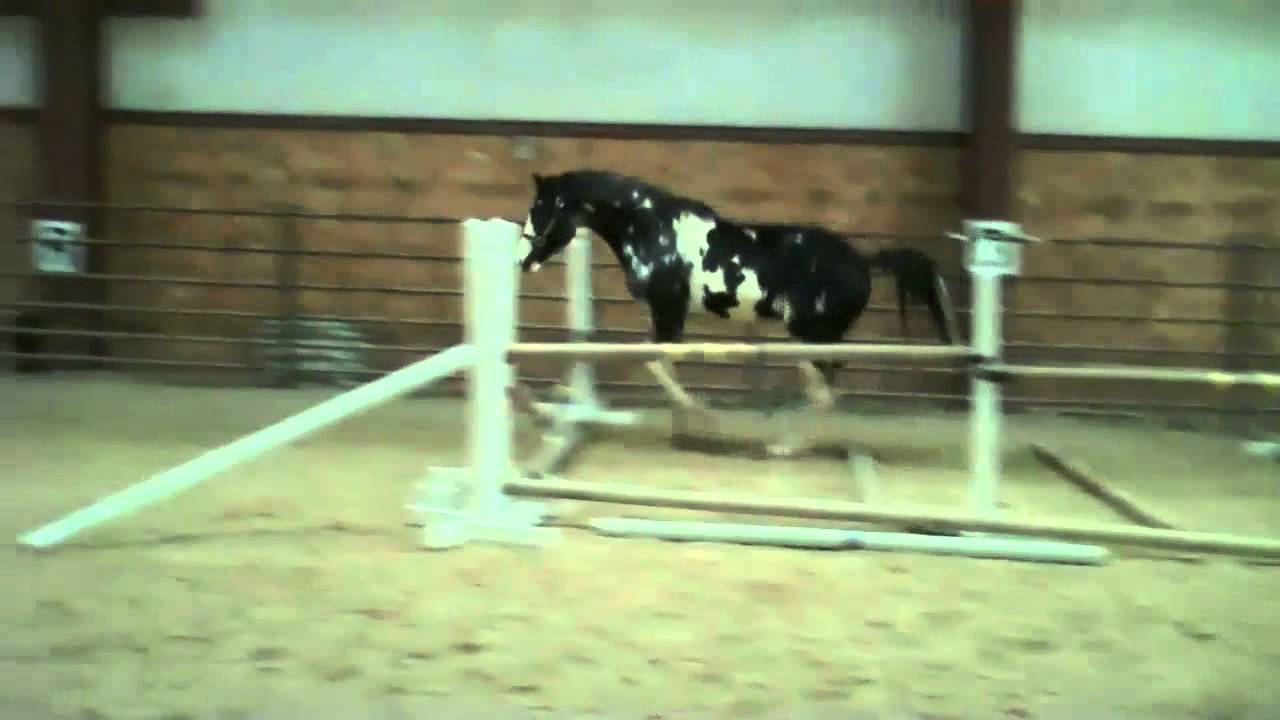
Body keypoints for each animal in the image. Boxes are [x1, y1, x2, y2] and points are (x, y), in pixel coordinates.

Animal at [515, 169, 957, 413]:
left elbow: (654, 361)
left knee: (824, 392)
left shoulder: (668, 311)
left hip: (811, 337)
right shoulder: (666, 315)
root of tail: (863, 263)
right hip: (819, 339)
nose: (522, 260)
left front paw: (698, 409)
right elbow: (650, 359)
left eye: (540, 209)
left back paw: (784, 445)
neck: (651, 229)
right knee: (828, 387)